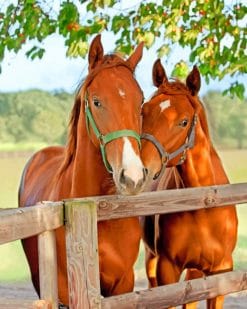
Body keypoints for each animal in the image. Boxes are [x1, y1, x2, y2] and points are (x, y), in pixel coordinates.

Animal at [140, 59, 238, 306]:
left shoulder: (220, 274)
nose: (141, 168)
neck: (203, 205)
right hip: (151, 260)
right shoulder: (167, 270)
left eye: (183, 122)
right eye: (143, 112)